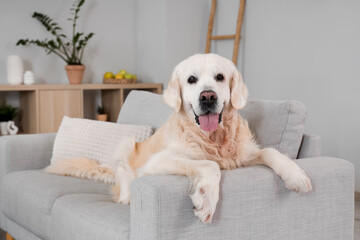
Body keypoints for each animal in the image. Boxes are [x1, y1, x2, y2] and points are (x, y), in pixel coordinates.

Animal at [46, 54, 312, 223]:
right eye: (191, 79)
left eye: (220, 77)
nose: (208, 97)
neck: (213, 138)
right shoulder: (158, 162)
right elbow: (210, 164)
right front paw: (206, 199)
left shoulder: (244, 154)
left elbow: (270, 151)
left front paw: (296, 174)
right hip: (125, 146)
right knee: (124, 182)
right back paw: (128, 197)